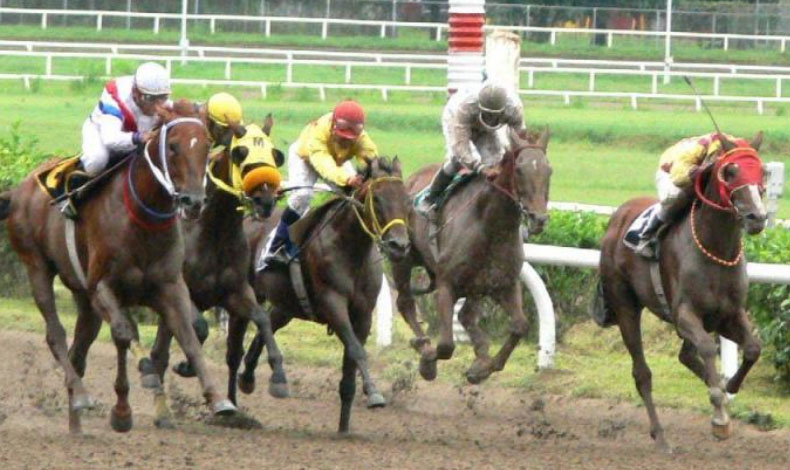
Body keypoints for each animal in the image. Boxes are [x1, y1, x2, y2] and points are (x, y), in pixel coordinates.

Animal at [0, 101, 237, 436]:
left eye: (206, 145)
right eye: (173, 146)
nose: (193, 202)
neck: (142, 219)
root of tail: (18, 191)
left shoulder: (168, 285)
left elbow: (189, 336)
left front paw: (217, 399)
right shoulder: (104, 286)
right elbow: (125, 334)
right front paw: (126, 406)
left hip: (83, 297)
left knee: (79, 351)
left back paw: (76, 424)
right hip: (37, 267)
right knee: (55, 335)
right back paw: (81, 395)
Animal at [142, 116, 290, 426]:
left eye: (275, 154)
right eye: (241, 153)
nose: (266, 201)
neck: (213, 231)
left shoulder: (236, 293)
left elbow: (262, 320)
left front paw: (278, 377)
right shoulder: (183, 292)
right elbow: (198, 328)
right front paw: (186, 365)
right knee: (160, 351)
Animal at [235, 157, 412, 434]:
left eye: (406, 199)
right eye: (377, 199)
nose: (399, 246)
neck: (351, 250)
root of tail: (250, 218)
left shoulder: (363, 315)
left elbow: (350, 363)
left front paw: (344, 428)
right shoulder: (333, 303)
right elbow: (357, 351)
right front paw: (374, 393)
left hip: (287, 304)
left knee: (267, 325)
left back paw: (255, 378)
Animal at [390, 127, 552, 382]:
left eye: (549, 170)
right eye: (519, 170)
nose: (539, 219)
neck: (490, 225)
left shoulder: (505, 283)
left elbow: (520, 326)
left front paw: (483, 367)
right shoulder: (447, 284)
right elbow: (446, 345)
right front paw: (427, 361)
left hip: (476, 286)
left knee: (466, 315)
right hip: (403, 257)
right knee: (405, 302)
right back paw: (423, 345)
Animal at [600, 133, 768, 452]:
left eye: (763, 172)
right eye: (730, 172)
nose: (757, 217)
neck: (717, 249)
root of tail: (618, 217)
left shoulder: (728, 314)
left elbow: (753, 348)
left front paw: (729, 388)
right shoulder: (685, 314)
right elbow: (707, 348)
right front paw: (719, 416)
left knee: (685, 355)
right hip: (625, 305)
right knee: (642, 373)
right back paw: (661, 436)